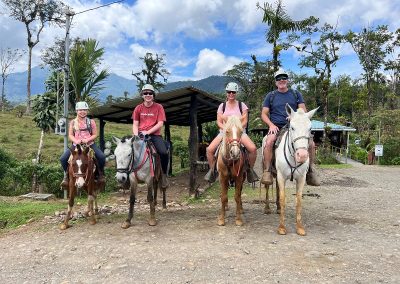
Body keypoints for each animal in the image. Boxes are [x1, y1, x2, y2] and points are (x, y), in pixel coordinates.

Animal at [262, 104, 318, 235]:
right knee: (267, 187)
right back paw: (267, 208)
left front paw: (300, 227)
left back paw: (277, 208)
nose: (302, 155)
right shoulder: (282, 176)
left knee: (277, 188)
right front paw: (282, 227)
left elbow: (299, 200)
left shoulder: (301, 178)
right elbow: (283, 199)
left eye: (310, 128)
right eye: (292, 128)